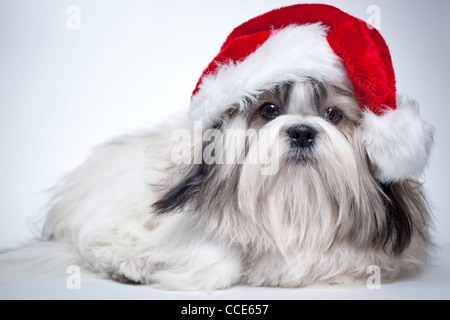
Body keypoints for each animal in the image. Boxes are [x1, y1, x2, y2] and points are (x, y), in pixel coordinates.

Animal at [0, 4, 436, 290]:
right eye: (268, 110)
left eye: (333, 114)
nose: (301, 132)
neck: (293, 210)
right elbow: (211, 258)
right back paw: (127, 263)